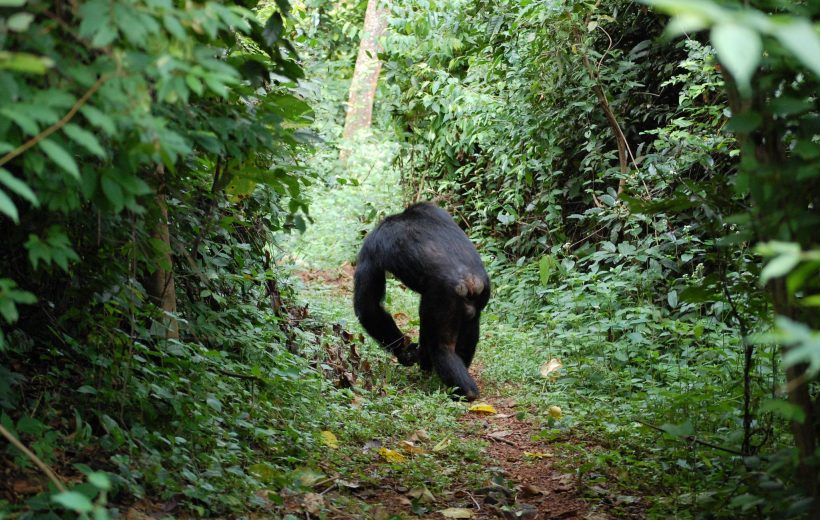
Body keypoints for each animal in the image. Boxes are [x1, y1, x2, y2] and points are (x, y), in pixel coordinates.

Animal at [350, 201, 490, 400]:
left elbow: (368, 307)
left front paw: (405, 352)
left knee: (439, 344)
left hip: (444, 298)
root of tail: (470, 280)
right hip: (480, 295)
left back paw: (460, 388)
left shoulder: (370, 247)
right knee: (470, 328)